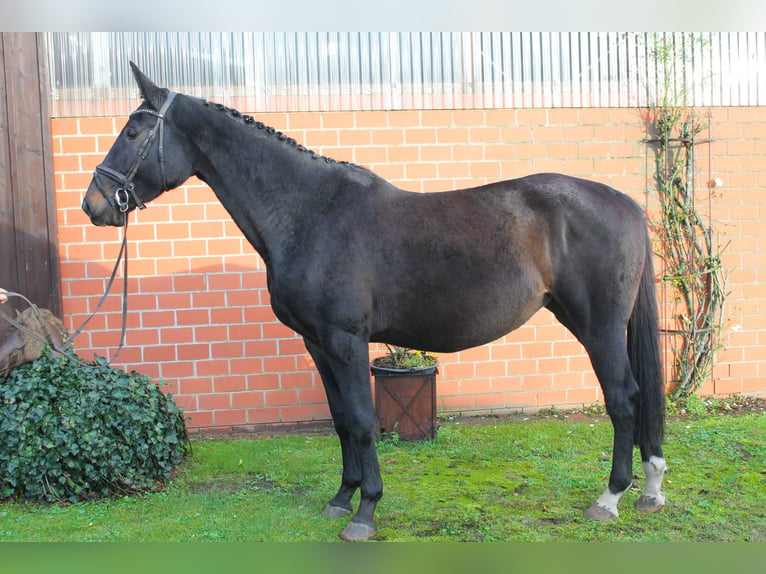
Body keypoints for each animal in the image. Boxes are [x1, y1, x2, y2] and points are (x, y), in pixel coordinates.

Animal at [84, 65, 668, 544]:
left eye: (133, 132)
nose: (94, 204)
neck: (310, 213)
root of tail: (622, 200)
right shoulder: (317, 344)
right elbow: (342, 419)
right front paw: (341, 498)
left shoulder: (346, 341)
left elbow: (365, 420)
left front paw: (365, 513)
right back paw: (650, 489)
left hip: (599, 327)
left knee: (623, 399)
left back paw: (610, 498)